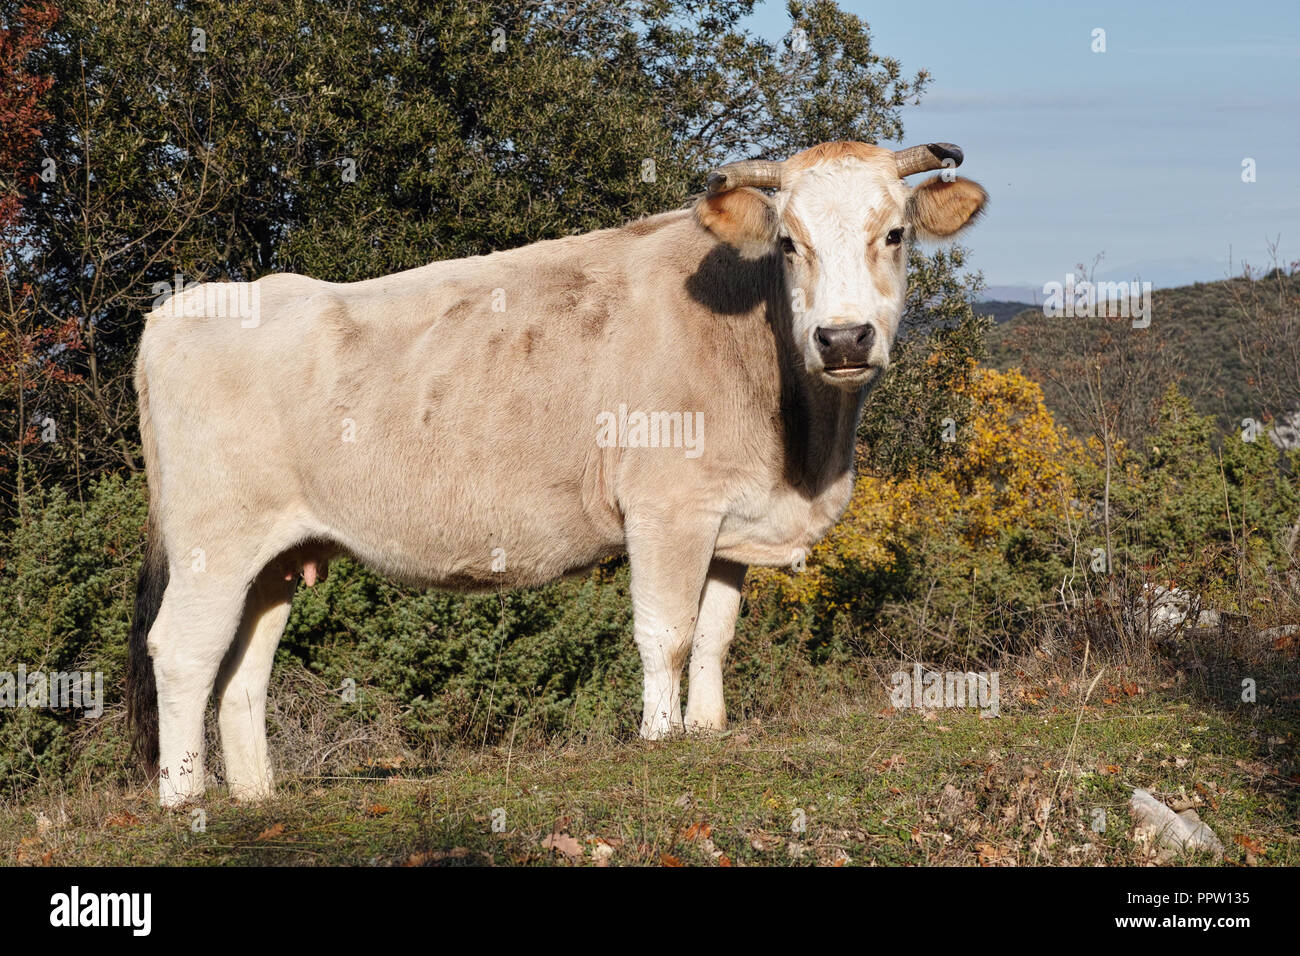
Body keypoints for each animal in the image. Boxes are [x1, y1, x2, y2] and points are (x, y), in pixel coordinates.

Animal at [127, 140, 987, 807]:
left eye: (895, 234)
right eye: (787, 243)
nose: (843, 338)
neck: (804, 447)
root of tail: (184, 307)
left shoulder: (730, 519)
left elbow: (714, 636)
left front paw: (708, 730)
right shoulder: (666, 508)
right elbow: (666, 633)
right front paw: (660, 737)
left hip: (275, 556)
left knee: (242, 671)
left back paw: (255, 795)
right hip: (213, 540)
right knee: (184, 650)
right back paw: (183, 797)